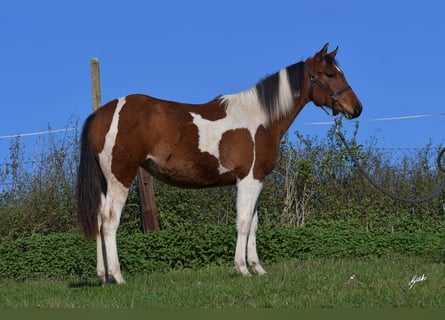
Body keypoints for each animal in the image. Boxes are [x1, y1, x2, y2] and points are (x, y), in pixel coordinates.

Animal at [76, 43, 360, 284]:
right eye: (329, 74)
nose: (357, 108)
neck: (260, 118)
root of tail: (102, 113)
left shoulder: (256, 180)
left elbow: (253, 224)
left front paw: (258, 268)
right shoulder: (248, 179)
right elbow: (243, 222)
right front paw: (242, 269)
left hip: (105, 183)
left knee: (99, 220)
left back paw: (103, 276)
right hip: (120, 178)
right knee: (110, 222)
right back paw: (118, 276)